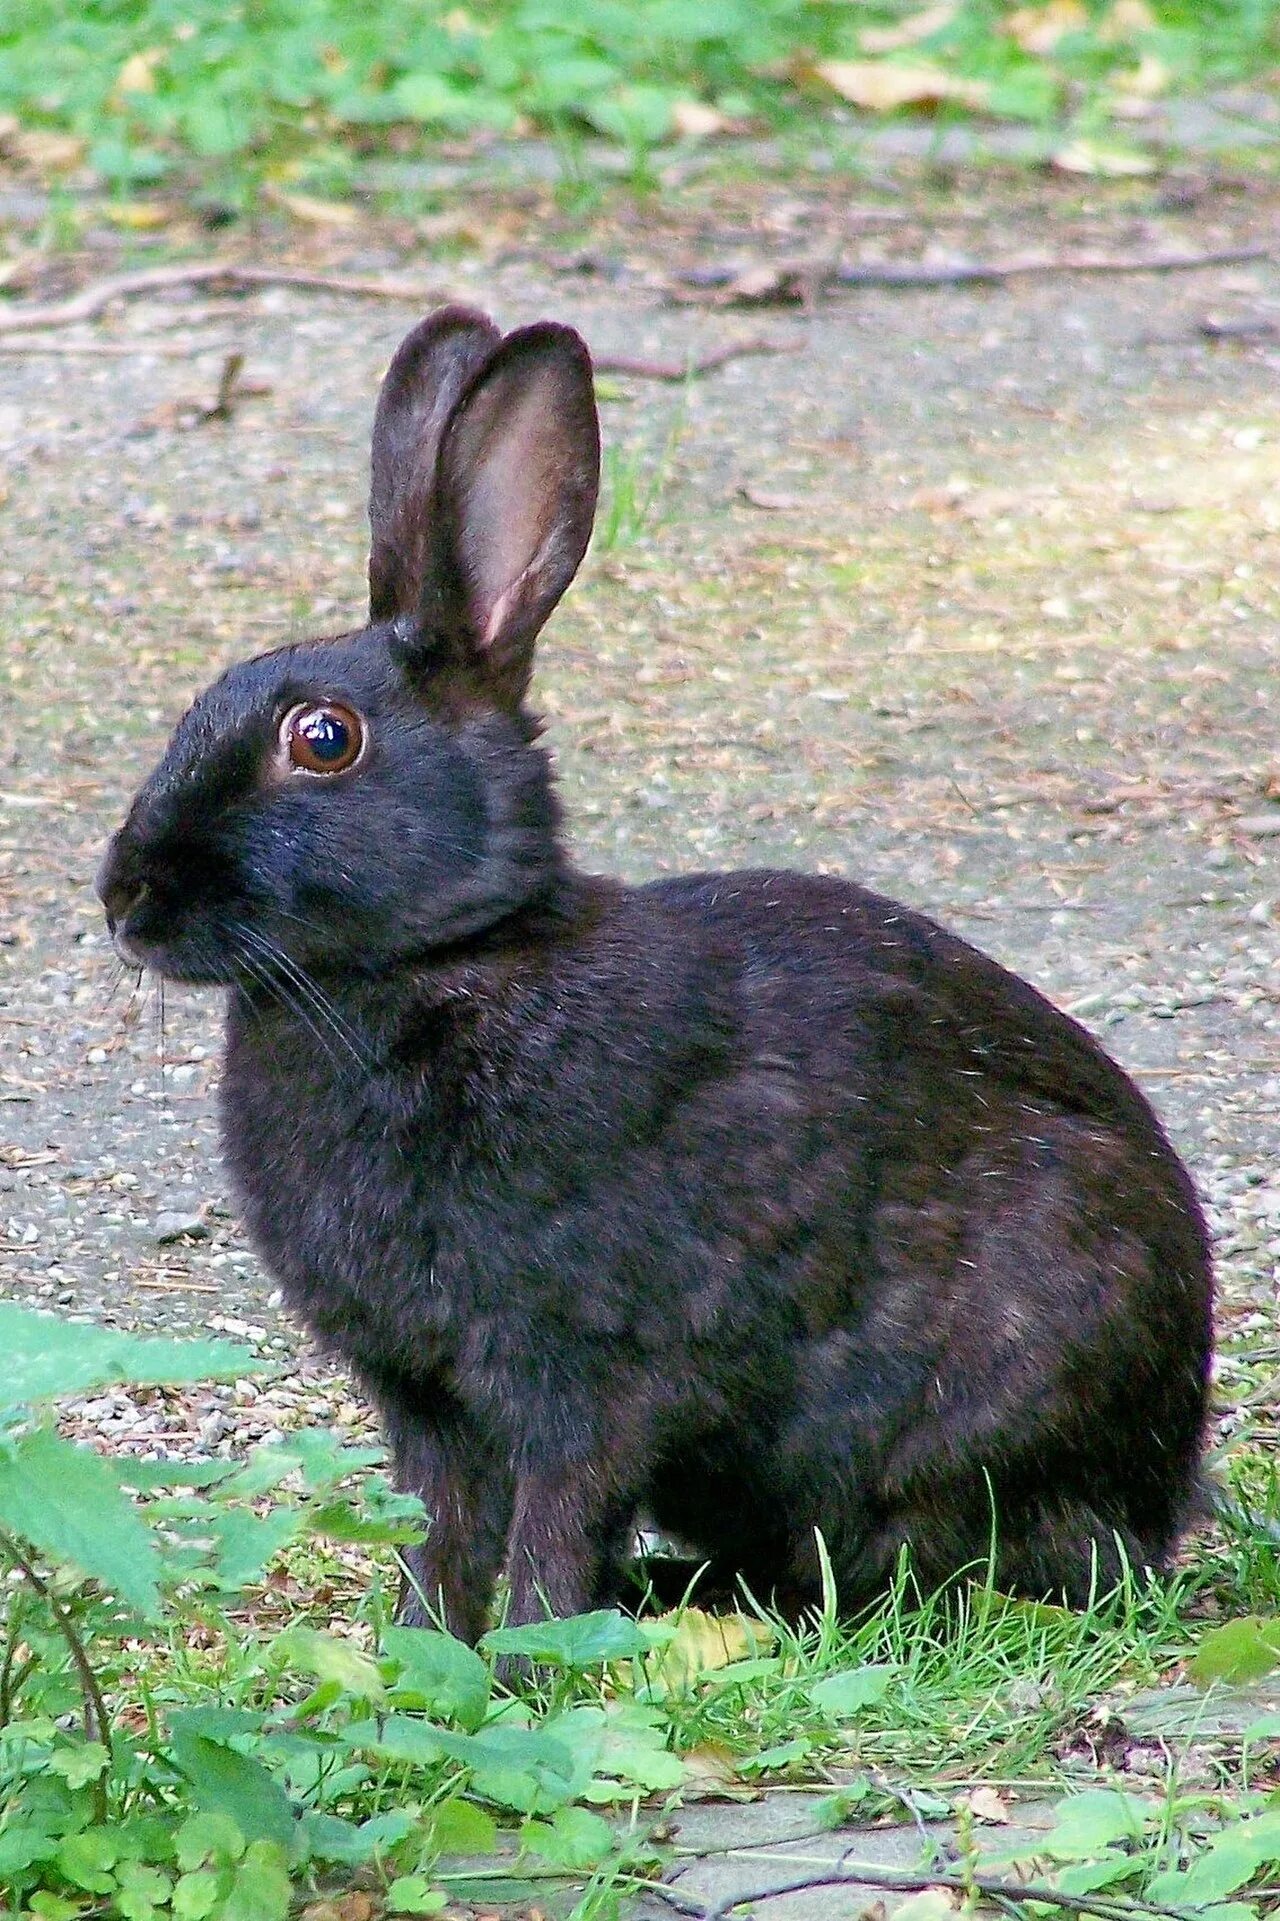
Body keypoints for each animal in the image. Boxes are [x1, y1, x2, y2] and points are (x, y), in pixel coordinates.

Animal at [97, 303, 1206, 1636]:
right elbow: (438, 1536)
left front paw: (522, 1665)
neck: (447, 962)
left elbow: (550, 1532)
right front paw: (422, 1653)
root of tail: (1166, 1483)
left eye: (322, 739)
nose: (124, 892)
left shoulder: (592, 1372)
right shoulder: (427, 1401)